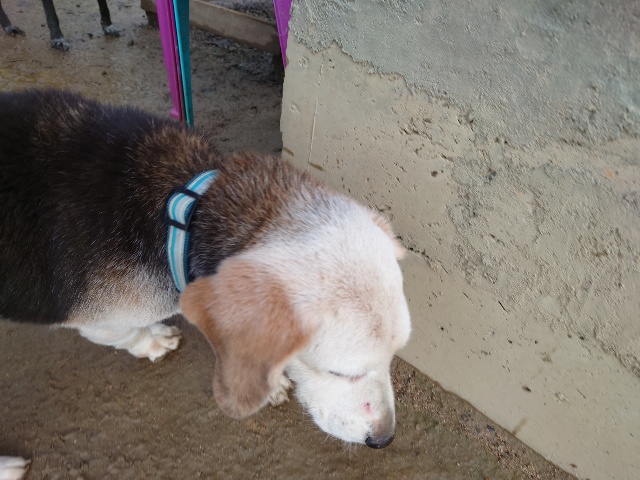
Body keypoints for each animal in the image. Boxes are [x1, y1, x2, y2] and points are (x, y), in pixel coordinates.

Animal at [0, 89, 411, 479]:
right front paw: (150, 341)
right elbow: (128, 334)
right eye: (342, 373)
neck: (186, 214)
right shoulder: (100, 323)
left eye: (394, 355)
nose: (384, 439)